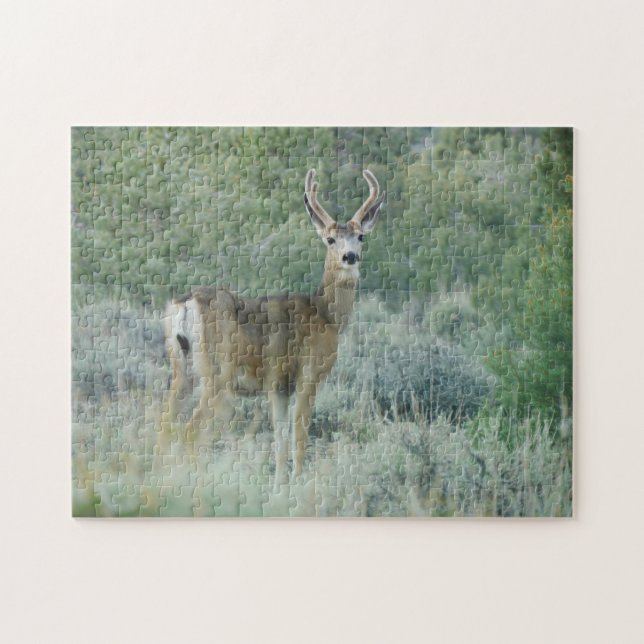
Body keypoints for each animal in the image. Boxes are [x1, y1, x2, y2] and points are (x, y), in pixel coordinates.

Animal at [164, 169, 384, 489]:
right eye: (330, 239)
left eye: (361, 236)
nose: (350, 257)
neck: (326, 313)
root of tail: (185, 303)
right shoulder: (308, 374)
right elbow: (299, 435)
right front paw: (299, 483)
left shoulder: (278, 385)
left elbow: (279, 440)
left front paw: (280, 485)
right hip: (217, 372)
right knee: (192, 429)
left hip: (182, 366)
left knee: (165, 422)